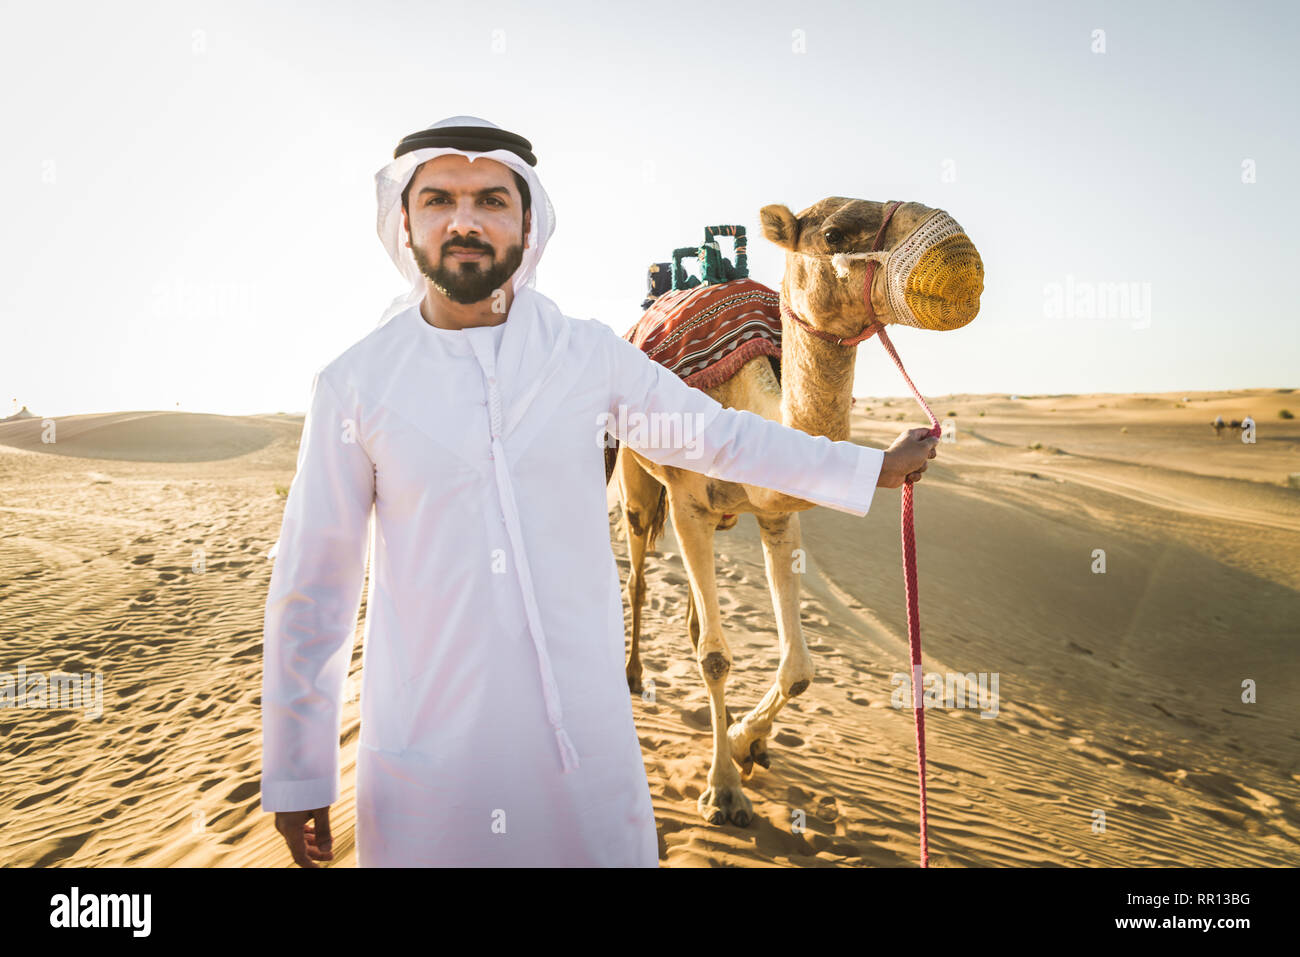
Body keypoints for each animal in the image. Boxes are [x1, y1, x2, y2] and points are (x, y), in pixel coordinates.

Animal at [613, 197, 977, 826]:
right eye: (832, 235)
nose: (954, 246)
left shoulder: (777, 513)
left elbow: (800, 669)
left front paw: (745, 741)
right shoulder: (687, 501)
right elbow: (715, 659)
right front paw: (723, 792)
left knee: (693, 613)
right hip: (638, 481)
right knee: (637, 574)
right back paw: (634, 676)